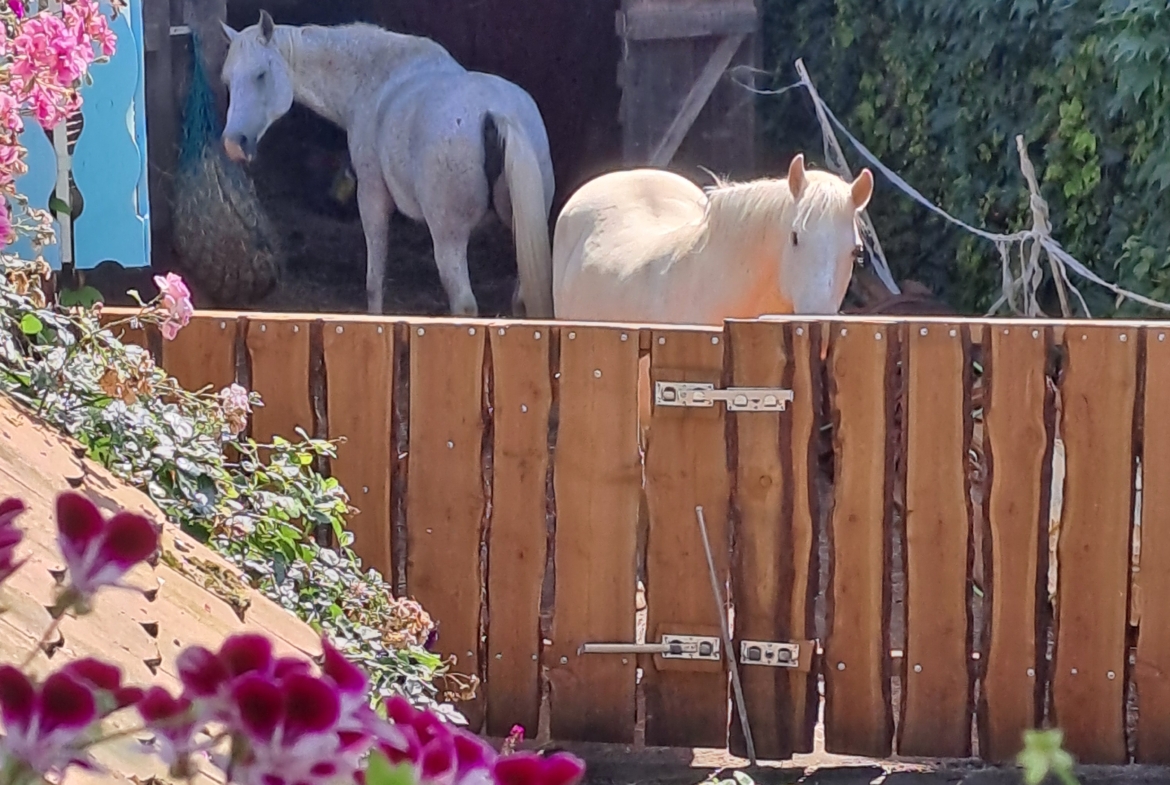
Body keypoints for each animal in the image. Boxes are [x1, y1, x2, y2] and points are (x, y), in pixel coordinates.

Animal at [220, 11, 556, 317]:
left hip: (449, 239)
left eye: (261, 75)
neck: (378, 77)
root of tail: (495, 112)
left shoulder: (371, 197)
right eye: (228, 80)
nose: (234, 144)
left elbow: (374, 281)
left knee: (464, 304)